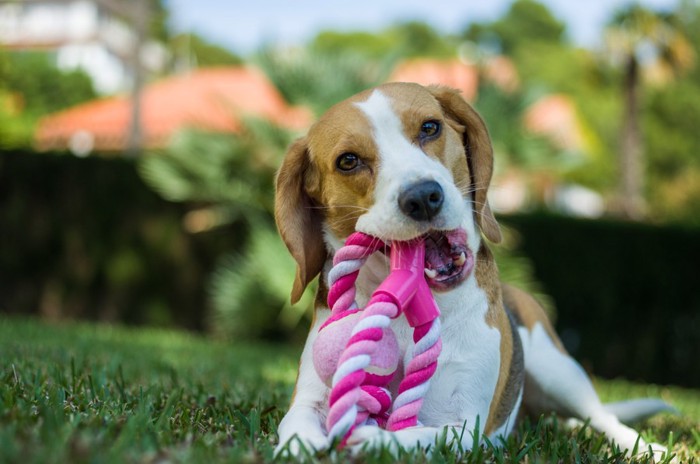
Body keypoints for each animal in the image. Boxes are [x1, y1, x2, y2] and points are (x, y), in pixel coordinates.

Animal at [272, 84, 668, 460]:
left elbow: (420, 436)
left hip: (560, 372)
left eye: (430, 127)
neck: (408, 314)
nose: (423, 196)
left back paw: (646, 447)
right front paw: (300, 447)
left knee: (602, 416)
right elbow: (295, 423)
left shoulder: (464, 426)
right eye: (349, 161)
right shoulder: (310, 396)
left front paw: (376, 440)